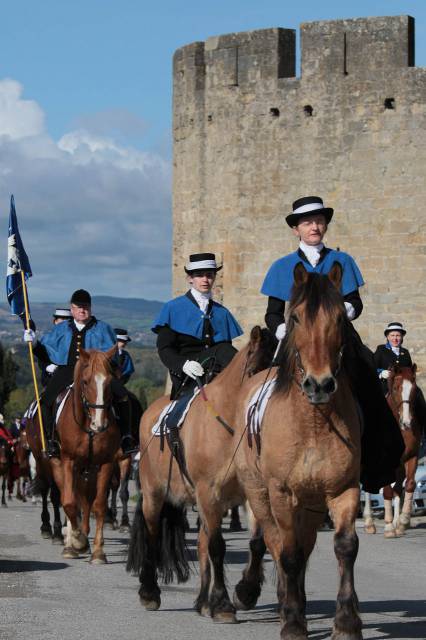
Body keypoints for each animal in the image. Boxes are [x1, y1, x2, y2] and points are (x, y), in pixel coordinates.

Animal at [125, 324, 276, 620]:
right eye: (257, 371)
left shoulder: (253, 492)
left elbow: (256, 542)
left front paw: (245, 593)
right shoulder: (209, 492)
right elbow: (218, 546)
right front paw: (224, 604)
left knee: (203, 540)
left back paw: (204, 602)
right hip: (154, 495)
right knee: (152, 535)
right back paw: (150, 593)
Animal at [235, 262, 362, 640]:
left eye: (341, 317)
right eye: (295, 318)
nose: (319, 385)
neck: (314, 422)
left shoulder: (343, 490)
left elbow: (345, 547)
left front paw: (346, 621)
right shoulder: (281, 493)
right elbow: (287, 553)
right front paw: (292, 622)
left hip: (311, 503)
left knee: (301, 546)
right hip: (261, 494)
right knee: (274, 542)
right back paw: (262, 594)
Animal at [362, 362, 422, 536]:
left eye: (414, 389)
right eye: (395, 388)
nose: (407, 422)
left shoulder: (412, 457)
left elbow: (408, 485)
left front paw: (402, 522)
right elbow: (387, 490)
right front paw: (388, 526)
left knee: (397, 487)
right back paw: (369, 522)